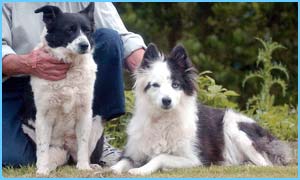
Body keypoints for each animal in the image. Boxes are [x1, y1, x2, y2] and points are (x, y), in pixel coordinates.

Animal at [21, 2, 103, 175]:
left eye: (87, 30)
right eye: (69, 30)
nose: (84, 45)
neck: (69, 68)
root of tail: (66, 151)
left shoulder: (85, 113)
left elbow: (83, 144)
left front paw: (84, 167)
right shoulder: (43, 116)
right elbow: (42, 148)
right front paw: (42, 170)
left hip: (97, 123)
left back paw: (91, 165)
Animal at [110, 43, 290, 175]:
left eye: (175, 85)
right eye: (155, 85)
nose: (167, 101)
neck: (163, 119)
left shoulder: (194, 159)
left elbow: (160, 156)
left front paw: (141, 170)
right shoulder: (133, 152)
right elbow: (123, 161)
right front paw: (113, 169)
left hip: (234, 128)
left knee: (266, 164)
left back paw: (248, 166)